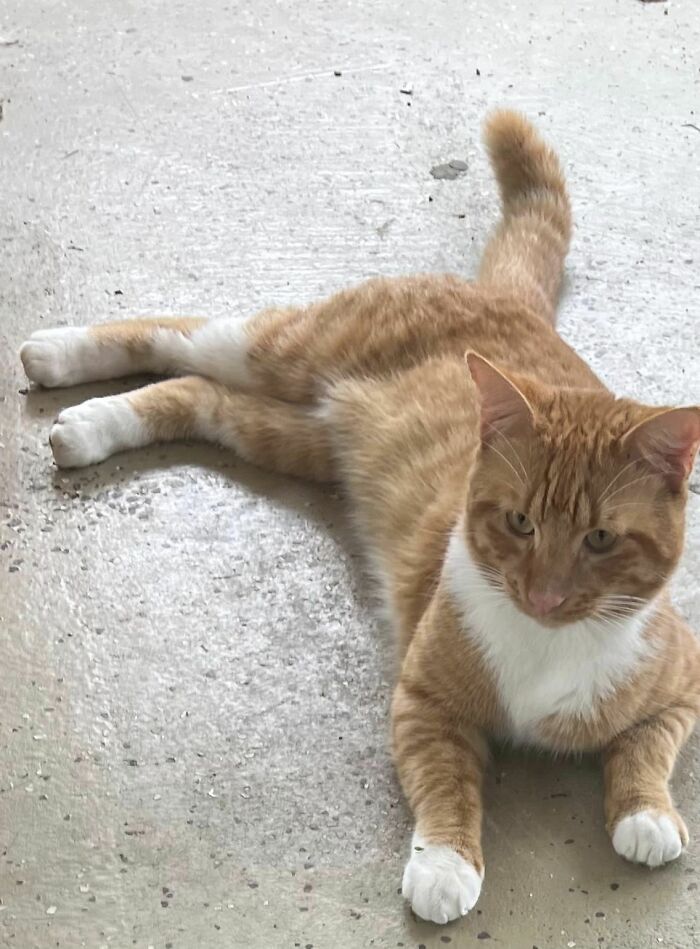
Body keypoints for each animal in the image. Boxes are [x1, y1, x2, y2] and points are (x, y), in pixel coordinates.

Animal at [19, 109, 696, 920]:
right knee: (180, 331)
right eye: (519, 523)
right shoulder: (423, 704)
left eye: (599, 539)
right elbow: (447, 785)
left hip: (291, 435)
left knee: (197, 393)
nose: (543, 595)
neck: (547, 647)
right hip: (282, 351)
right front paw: (444, 865)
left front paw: (648, 814)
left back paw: (93, 424)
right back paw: (57, 353)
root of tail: (516, 306)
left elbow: (647, 745)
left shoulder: (682, 684)